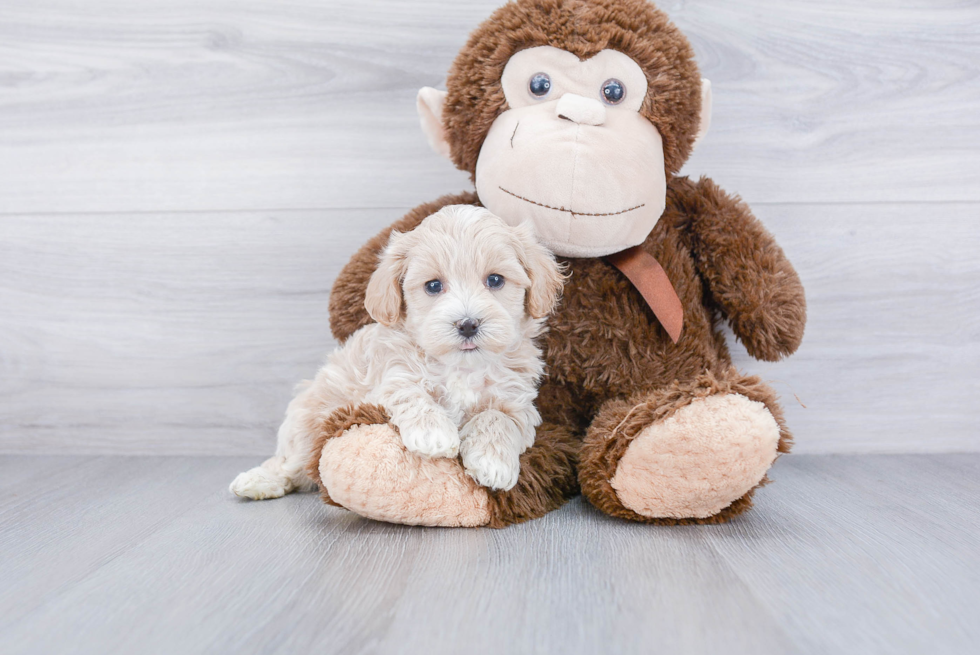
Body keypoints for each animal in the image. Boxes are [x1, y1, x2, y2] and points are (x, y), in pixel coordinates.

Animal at [231, 208, 564, 500]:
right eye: (433, 286)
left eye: (495, 280)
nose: (468, 324)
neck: (462, 367)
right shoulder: (391, 375)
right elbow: (410, 393)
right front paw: (434, 435)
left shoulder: (518, 403)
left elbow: (497, 418)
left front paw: (492, 463)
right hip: (307, 423)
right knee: (290, 462)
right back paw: (259, 481)